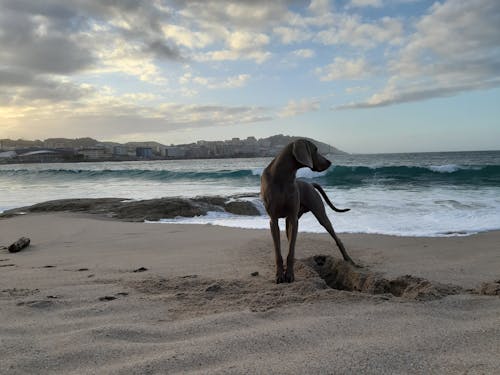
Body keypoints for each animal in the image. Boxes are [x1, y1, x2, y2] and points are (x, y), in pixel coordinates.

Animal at [260, 140, 354, 284]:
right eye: (315, 149)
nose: (329, 162)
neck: (283, 177)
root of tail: (310, 184)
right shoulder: (273, 220)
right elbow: (278, 250)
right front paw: (280, 275)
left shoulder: (293, 219)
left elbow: (291, 249)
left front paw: (290, 275)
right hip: (290, 220)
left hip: (319, 214)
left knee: (336, 237)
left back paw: (348, 259)